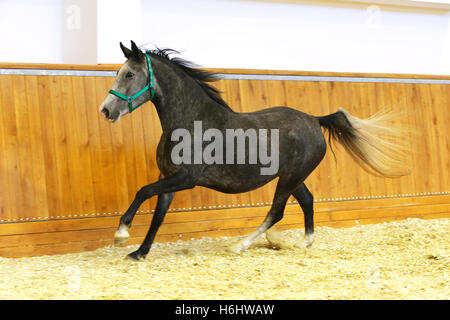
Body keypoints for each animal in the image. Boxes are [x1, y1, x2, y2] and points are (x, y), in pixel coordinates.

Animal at [98, 40, 408, 260]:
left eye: (129, 74)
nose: (106, 110)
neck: (191, 121)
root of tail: (315, 120)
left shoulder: (186, 178)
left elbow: (142, 192)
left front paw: (121, 234)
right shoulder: (168, 178)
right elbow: (158, 214)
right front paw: (139, 252)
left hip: (289, 178)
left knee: (277, 211)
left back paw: (239, 245)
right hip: (294, 177)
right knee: (307, 200)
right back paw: (304, 242)